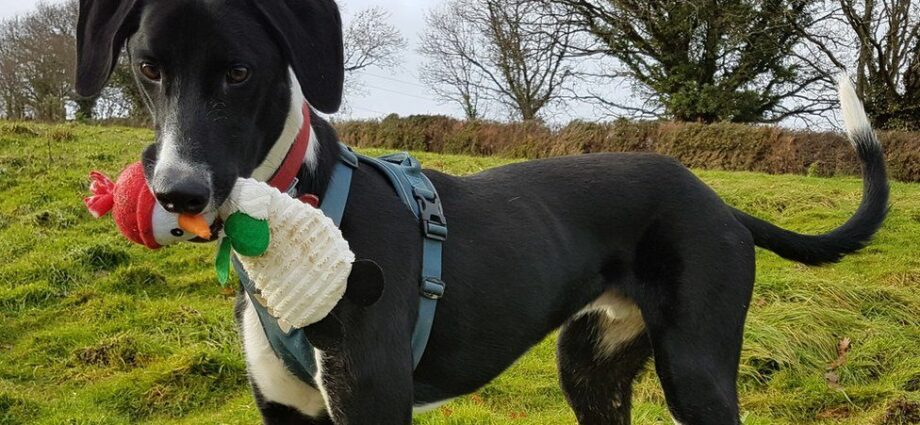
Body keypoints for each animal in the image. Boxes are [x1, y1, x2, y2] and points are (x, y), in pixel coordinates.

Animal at [75, 0, 888, 424]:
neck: (298, 210)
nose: (177, 194)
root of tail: (719, 202)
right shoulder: (286, 410)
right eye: (148, 68)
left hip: (696, 367)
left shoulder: (373, 402)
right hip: (590, 369)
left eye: (239, 72)